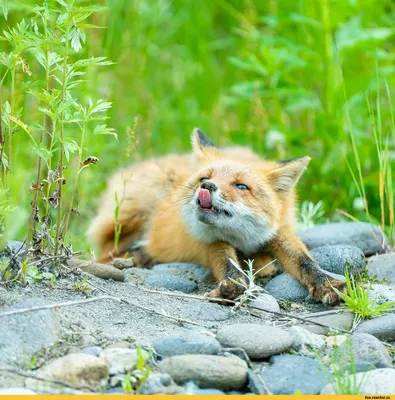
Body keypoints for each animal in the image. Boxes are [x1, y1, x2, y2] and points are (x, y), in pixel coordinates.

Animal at [88, 128, 344, 304]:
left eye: (241, 186)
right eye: (204, 178)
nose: (207, 186)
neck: (241, 239)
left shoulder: (280, 229)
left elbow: (303, 259)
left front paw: (326, 283)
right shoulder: (205, 240)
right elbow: (223, 258)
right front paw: (233, 283)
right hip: (131, 214)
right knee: (109, 252)